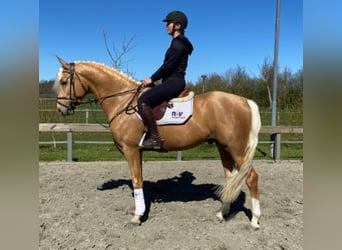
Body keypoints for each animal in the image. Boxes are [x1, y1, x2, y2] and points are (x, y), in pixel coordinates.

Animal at [54, 57, 262, 229]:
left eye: (64, 82)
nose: (61, 109)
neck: (122, 99)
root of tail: (245, 101)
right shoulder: (138, 151)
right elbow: (140, 179)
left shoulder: (131, 150)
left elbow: (136, 180)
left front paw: (137, 217)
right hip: (223, 147)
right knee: (231, 178)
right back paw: (221, 214)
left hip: (237, 149)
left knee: (251, 177)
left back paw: (254, 220)